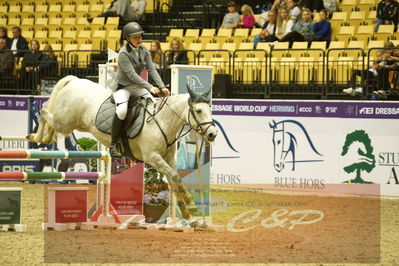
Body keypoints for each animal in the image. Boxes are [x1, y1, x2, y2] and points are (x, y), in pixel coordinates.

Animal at [28, 75, 219, 222]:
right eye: (198, 110)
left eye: (210, 110)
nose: (212, 134)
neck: (163, 120)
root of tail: (75, 81)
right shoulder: (153, 158)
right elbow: (174, 177)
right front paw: (191, 207)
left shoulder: (169, 159)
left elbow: (175, 180)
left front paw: (189, 216)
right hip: (65, 121)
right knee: (44, 111)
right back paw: (37, 137)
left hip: (69, 124)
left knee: (50, 121)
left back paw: (46, 137)